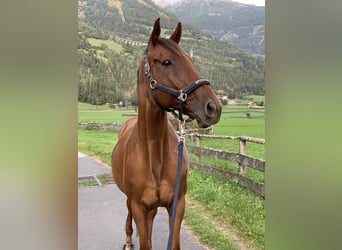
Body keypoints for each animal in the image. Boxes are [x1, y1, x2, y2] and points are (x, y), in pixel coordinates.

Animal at [112, 18, 222, 249]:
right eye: (166, 62)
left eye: (190, 59)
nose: (213, 107)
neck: (154, 157)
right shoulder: (139, 206)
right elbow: (144, 241)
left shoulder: (177, 204)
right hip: (131, 201)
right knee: (129, 214)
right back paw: (128, 239)